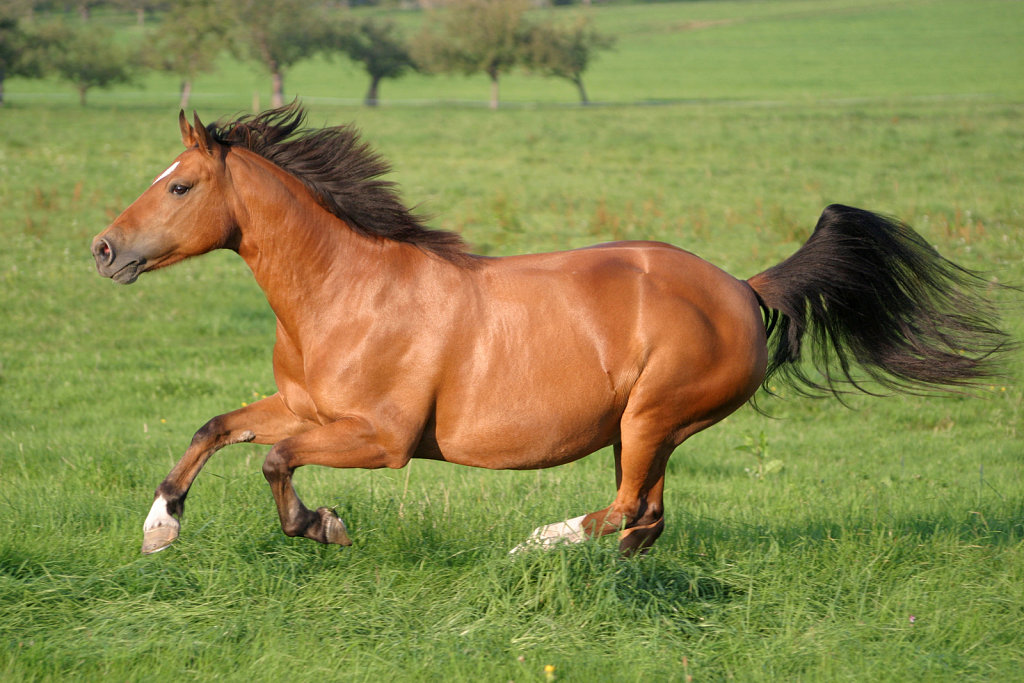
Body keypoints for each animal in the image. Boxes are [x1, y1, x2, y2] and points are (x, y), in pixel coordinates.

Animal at [91, 104, 1011, 556]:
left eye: (179, 186)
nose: (103, 249)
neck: (348, 290)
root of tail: (744, 289)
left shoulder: (379, 438)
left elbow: (276, 461)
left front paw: (324, 525)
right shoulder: (307, 406)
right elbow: (218, 427)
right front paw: (160, 526)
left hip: (651, 418)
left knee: (629, 508)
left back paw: (534, 543)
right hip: (650, 428)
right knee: (647, 520)